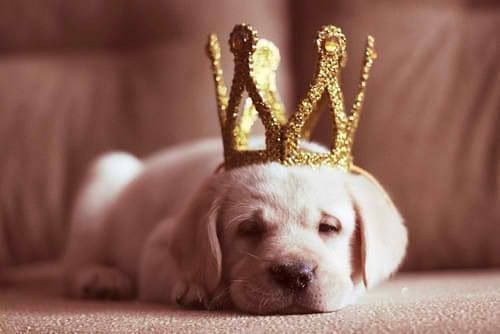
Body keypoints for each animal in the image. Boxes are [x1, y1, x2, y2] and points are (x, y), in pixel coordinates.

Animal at [61, 137, 406, 314]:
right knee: (76, 263)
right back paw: (102, 279)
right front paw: (197, 287)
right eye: (249, 229)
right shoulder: (156, 247)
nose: (295, 274)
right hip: (103, 180)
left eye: (329, 227)